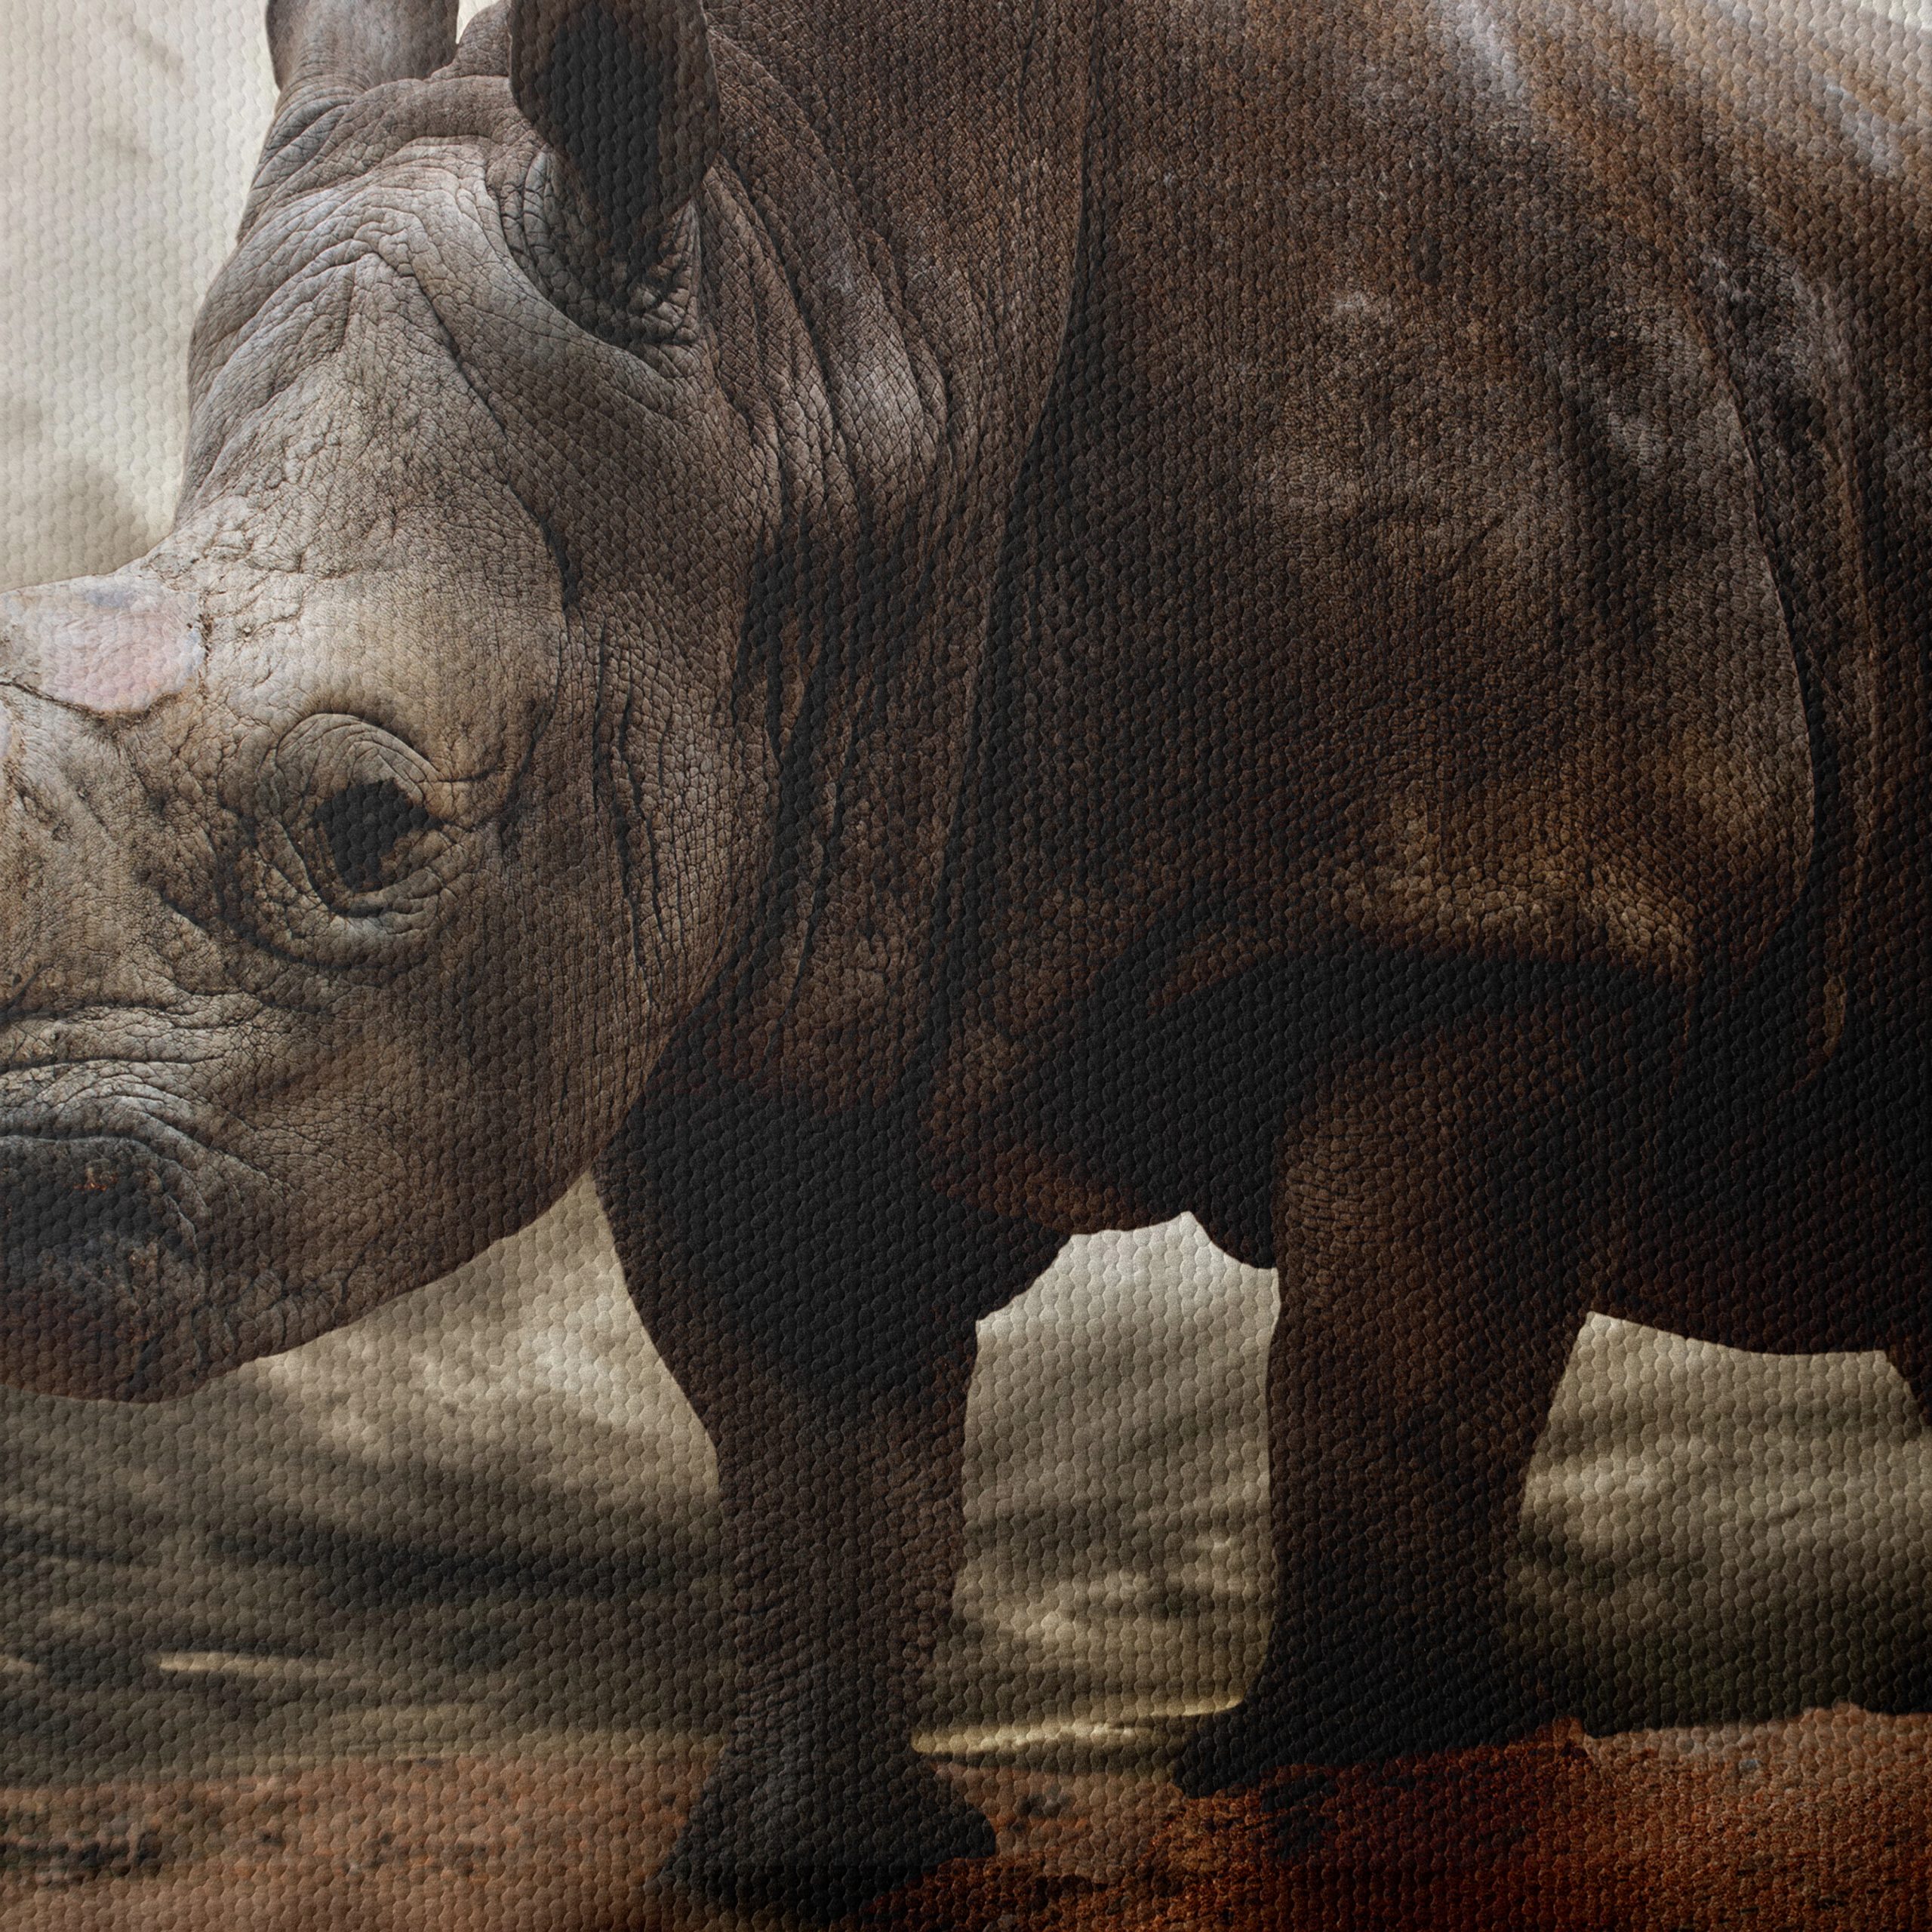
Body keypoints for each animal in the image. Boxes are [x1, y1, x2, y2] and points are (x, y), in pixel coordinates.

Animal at [2, 0, 1930, 1911]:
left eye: (370, 821)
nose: (15, 1226)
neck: (816, 325)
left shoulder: (1510, 899)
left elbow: (1383, 1392)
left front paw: (1355, 1793)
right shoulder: (770, 942)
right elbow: (813, 1456)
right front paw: (805, 1862)